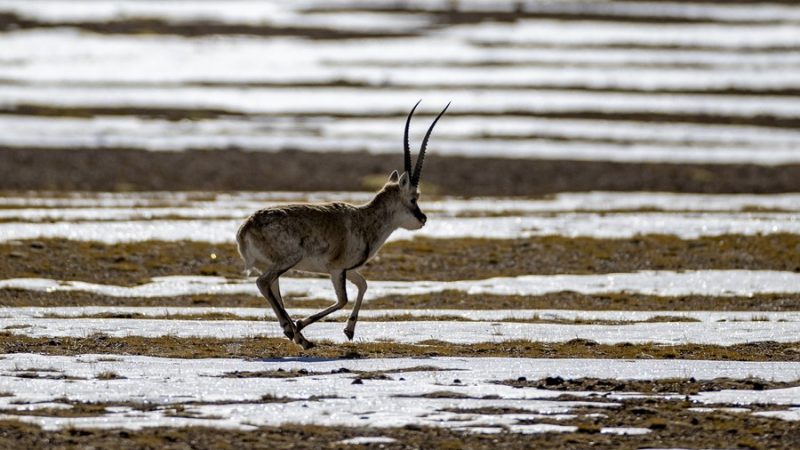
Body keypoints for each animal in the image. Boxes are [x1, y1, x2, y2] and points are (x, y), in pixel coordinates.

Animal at [236, 101, 450, 348]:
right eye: (414, 198)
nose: (422, 219)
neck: (365, 219)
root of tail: (247, 226)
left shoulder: (347, 269)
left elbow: (363, 285)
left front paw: (349, 330)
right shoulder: (336, 269)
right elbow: (343, 299)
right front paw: (302, 322)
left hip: (273, 264)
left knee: (272, 287)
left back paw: (297, 336)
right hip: (288, 259)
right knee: (263, 283)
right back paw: (299, 335)